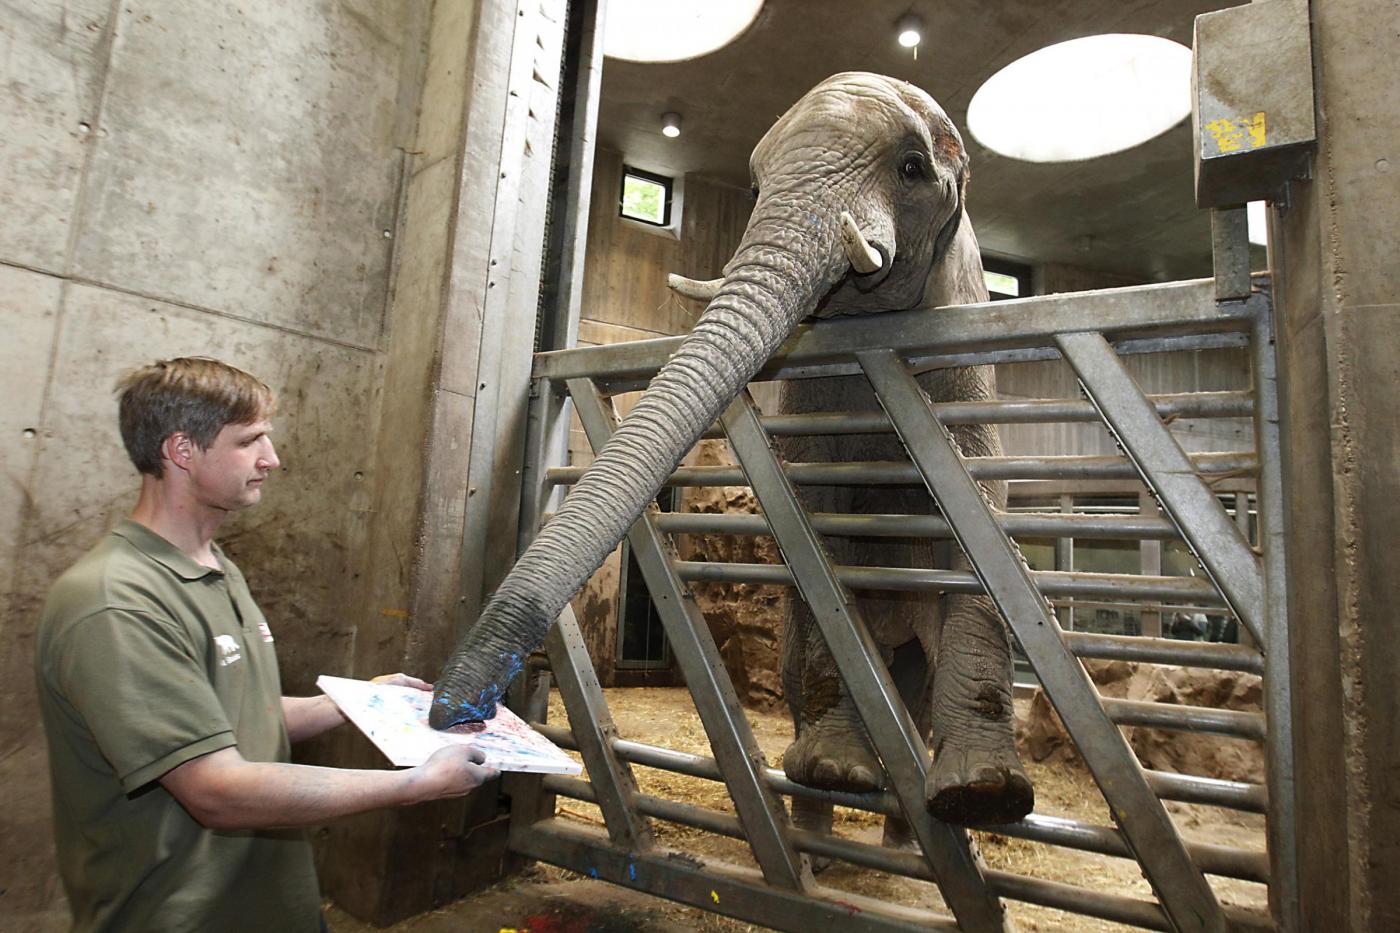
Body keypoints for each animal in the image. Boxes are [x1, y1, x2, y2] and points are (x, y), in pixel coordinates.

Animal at [431, 74, 1036, 829]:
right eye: (753, 187)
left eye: (911, 168)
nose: (452, 715)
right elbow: (818, 551)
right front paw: (835, 767)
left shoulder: (967, 395)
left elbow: (978, 557)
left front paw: (986, 794)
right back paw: (830, 792)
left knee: (917, 700)